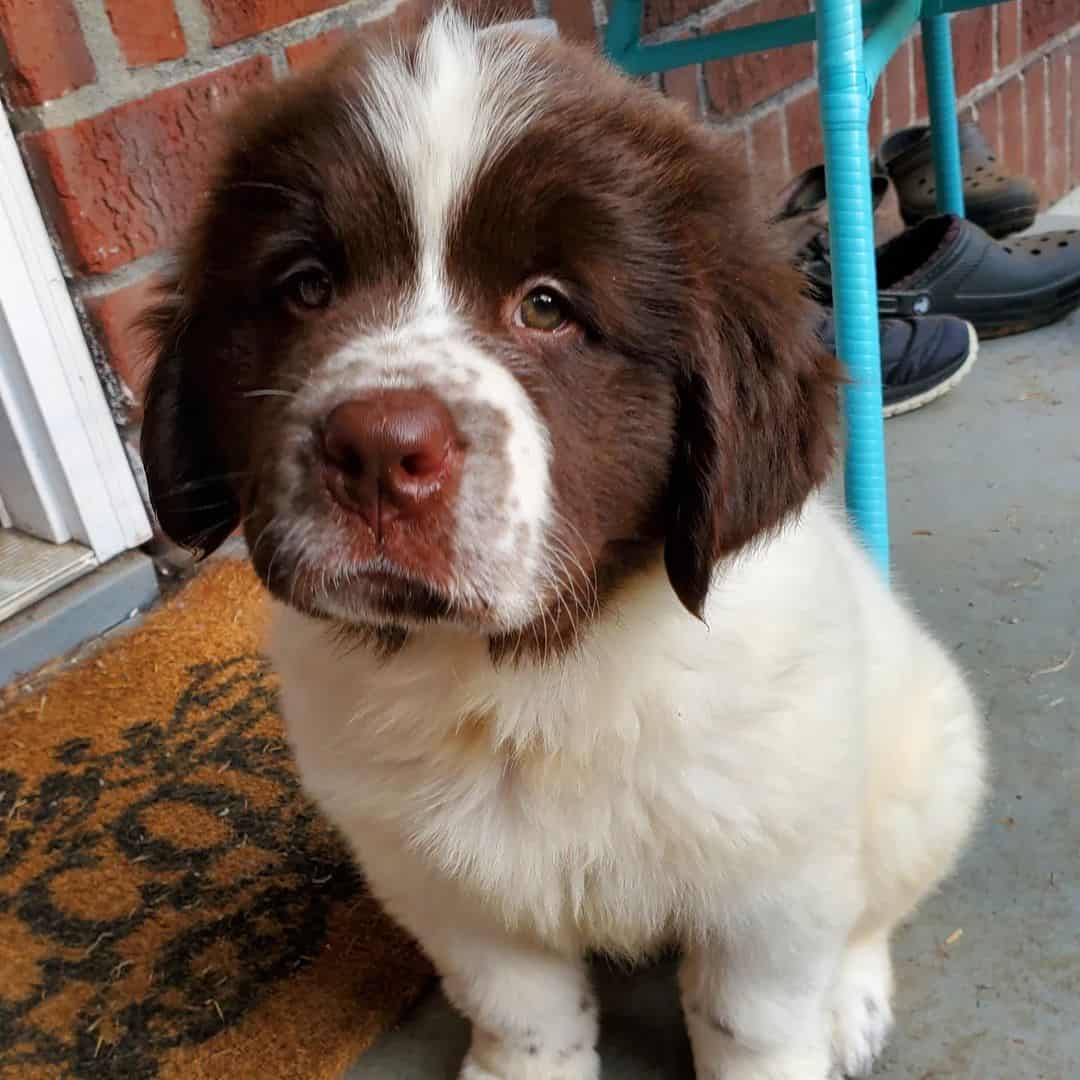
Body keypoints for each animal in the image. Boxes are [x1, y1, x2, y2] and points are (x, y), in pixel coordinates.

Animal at [141, 10, 989, 1080]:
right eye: (307, 287)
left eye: (547, 305)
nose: (375, 450)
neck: (526, 676)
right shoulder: (441, 882)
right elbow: (518, 1005)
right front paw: (522, 1068)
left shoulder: (771, 877)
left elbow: (751, 1017)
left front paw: (795, 1029)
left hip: (929, 771)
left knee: (877, 906)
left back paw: (854, 1004)